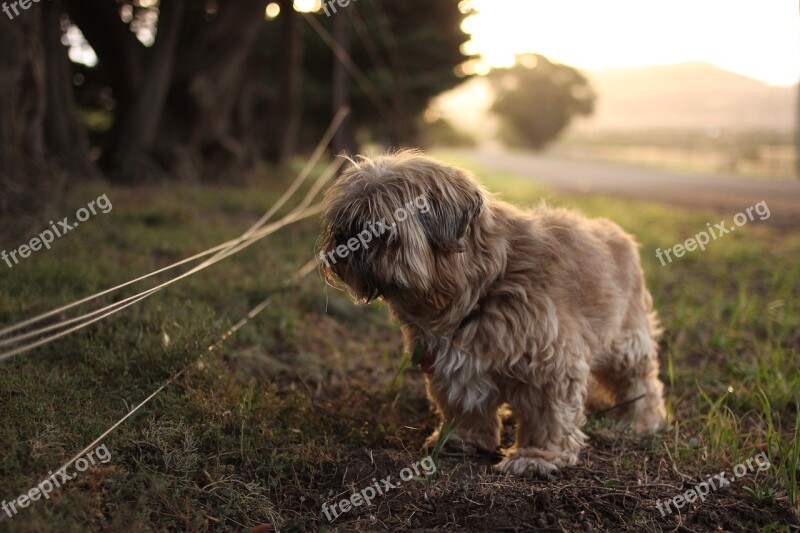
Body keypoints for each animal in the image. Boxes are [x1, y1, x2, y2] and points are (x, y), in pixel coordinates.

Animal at [316, 150, 664, 474]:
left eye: (379, 225)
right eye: (343, 220)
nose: (345, 235)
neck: (482, 283)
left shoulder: (551, 363)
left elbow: (548, 413)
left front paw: (537, 455)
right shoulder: (452, 362)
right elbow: (465, 401)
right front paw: (463, 439)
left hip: (626, 342)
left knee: (641, 382)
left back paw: (641, 420)